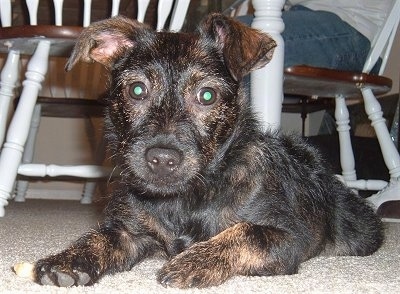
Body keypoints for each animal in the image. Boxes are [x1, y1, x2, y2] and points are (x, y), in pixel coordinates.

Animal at [29, 13, 382, 288]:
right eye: (137, 90)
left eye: (207, 96)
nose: (162, 159)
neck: (187, 198)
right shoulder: (131, 232)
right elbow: (101, 236)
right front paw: (68, 259)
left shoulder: (290, 237)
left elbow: (247, 232)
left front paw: (194, 260)